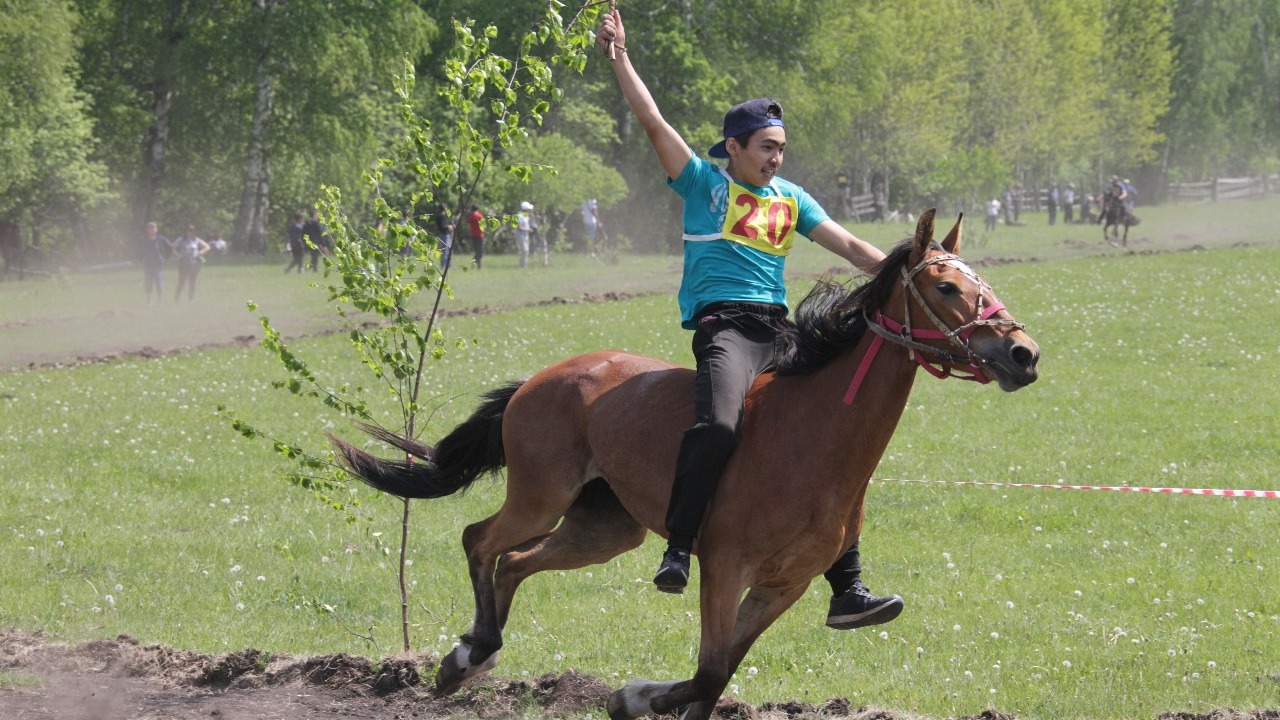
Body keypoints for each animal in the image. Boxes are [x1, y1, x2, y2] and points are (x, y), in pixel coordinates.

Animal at [331, 209, 1040, 720]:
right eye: (946, 287)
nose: (1023, 354)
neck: (813, 439)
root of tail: (540, 378)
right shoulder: (724, 568)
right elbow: (706, 672)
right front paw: (629, 697)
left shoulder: (783, 585)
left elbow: (716, 679)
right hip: (541, 495)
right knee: (480, 540)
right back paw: (466, 655)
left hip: (605, 529)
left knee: (513, 562)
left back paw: (477, 653)